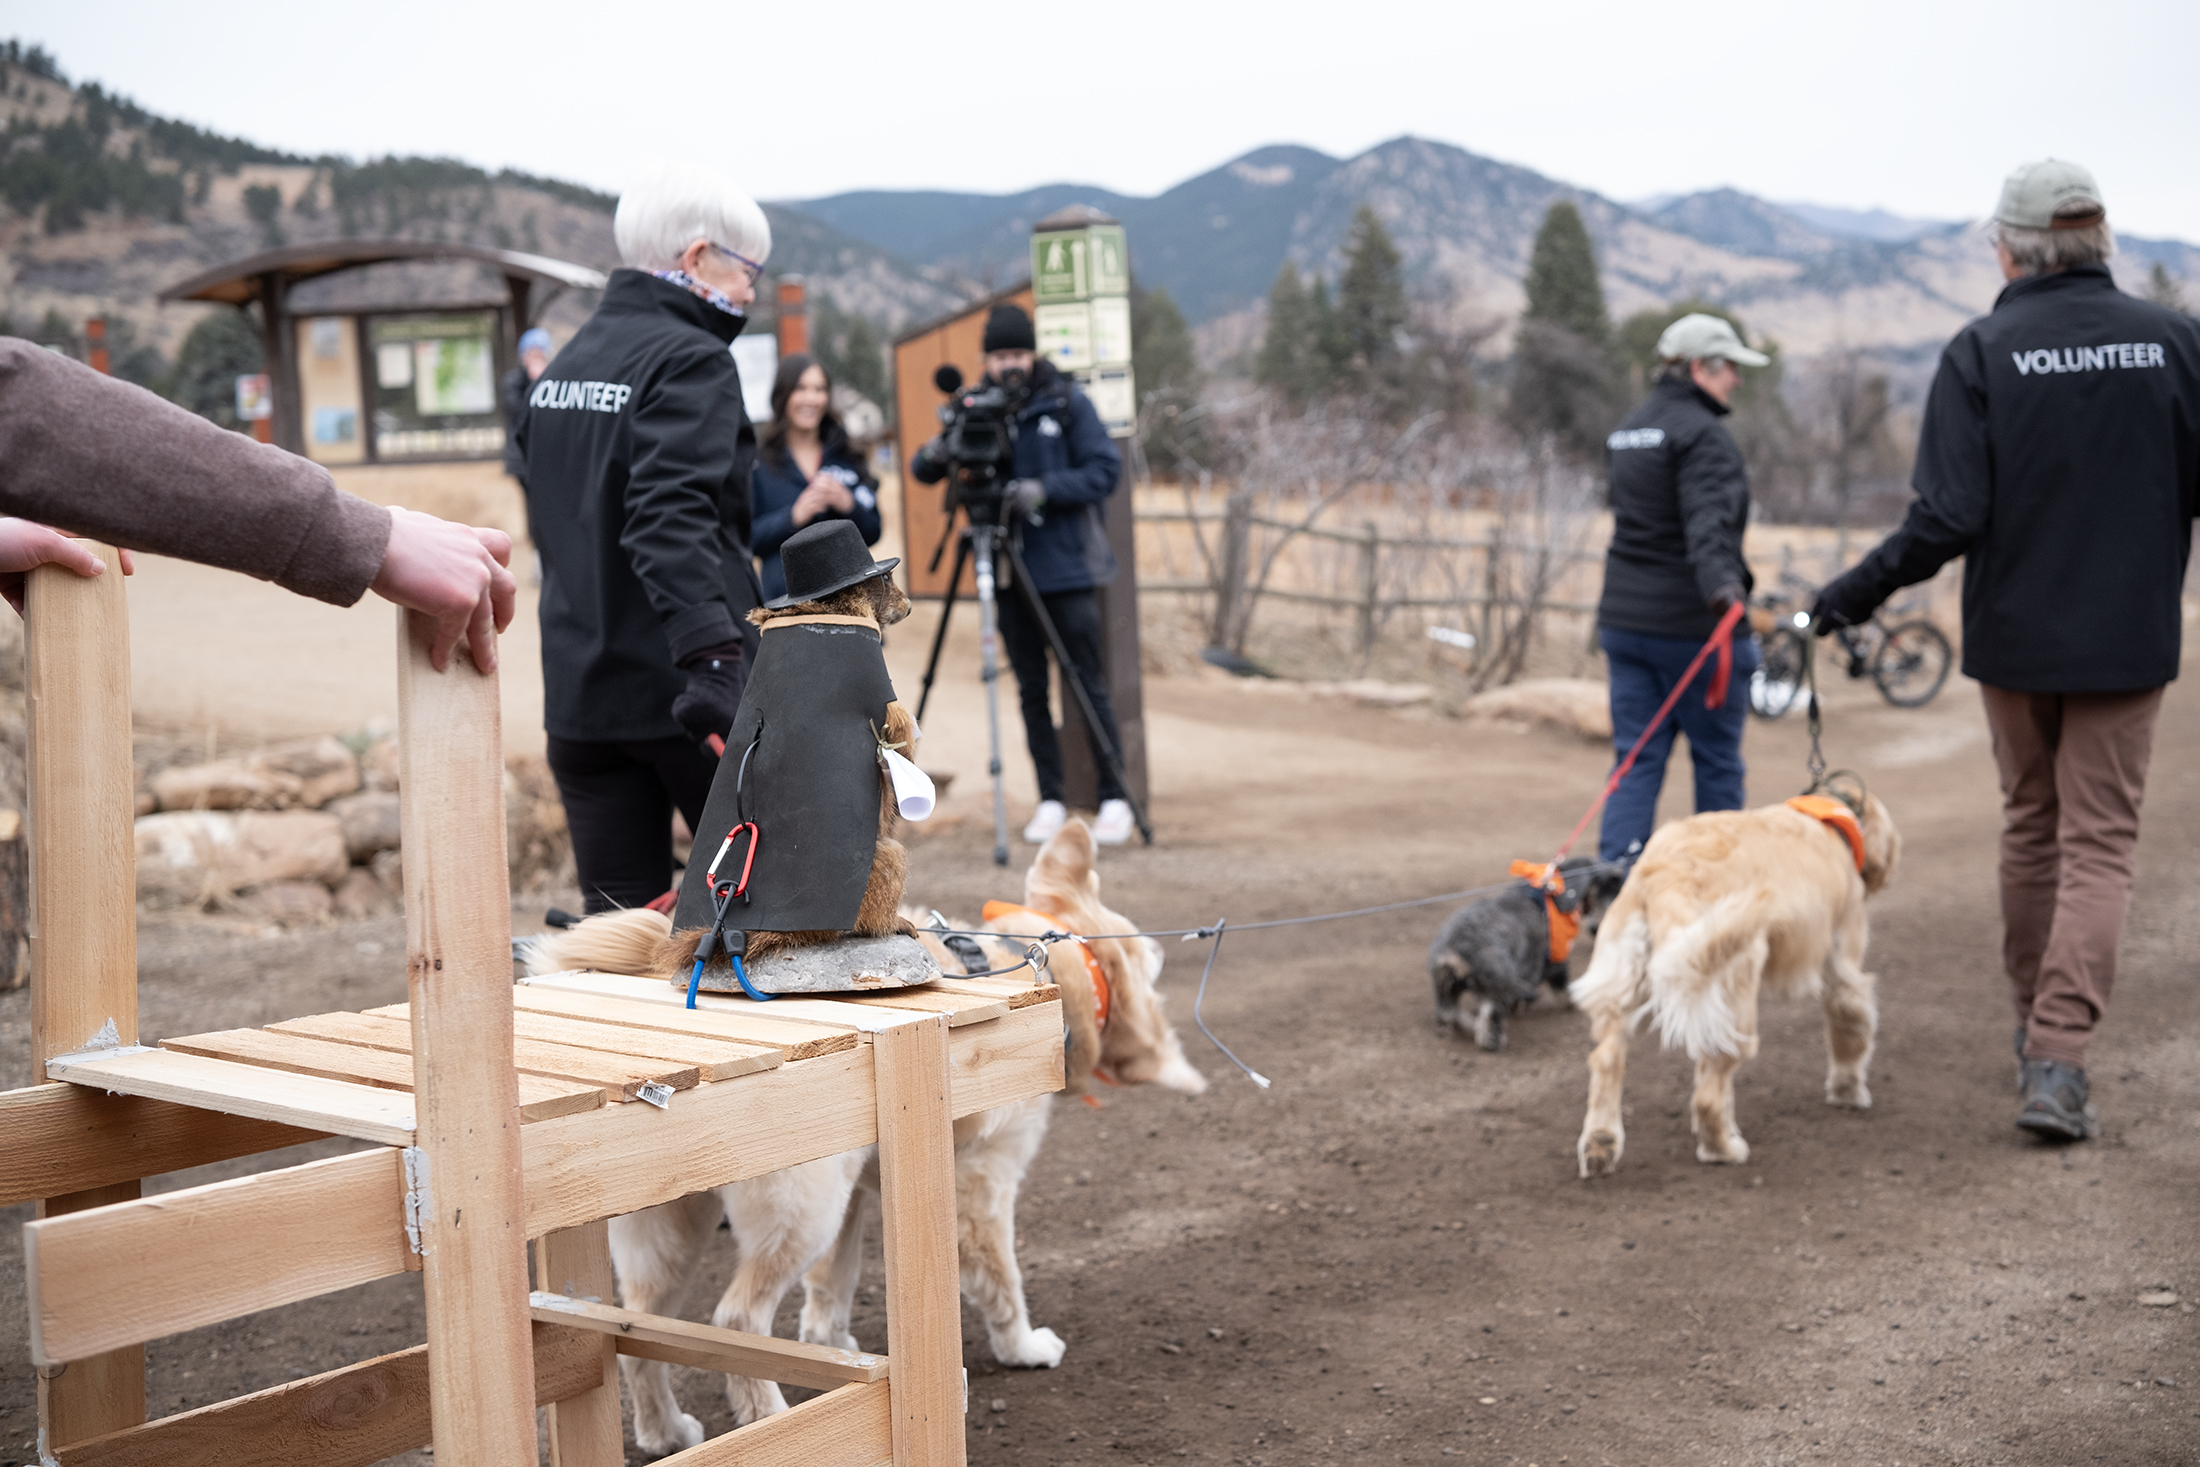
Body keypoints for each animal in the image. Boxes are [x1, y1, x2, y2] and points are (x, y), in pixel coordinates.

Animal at [1434, 862, 1628, 1055]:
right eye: (1610, 883)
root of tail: (1455, 946)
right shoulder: (1555, 964)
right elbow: (1562, 987)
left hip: (1446, 985)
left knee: (1448, 1013)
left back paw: (1468, 1024)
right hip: (1494, 984)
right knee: (1491, 1014)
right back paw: (1492, 1040)